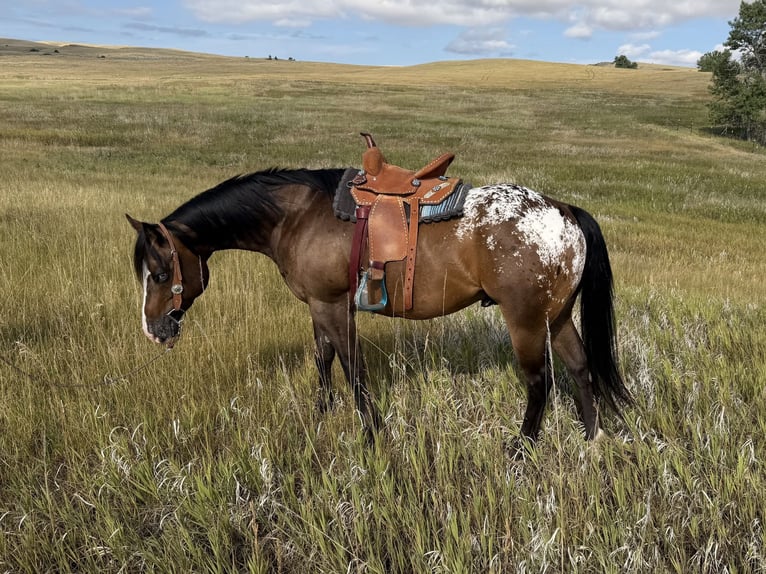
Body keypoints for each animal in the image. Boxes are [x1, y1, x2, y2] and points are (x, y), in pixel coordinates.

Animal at [126, 167, 631, 446]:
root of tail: (564, 210)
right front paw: (323, 414)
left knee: (539, 380)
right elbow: (323, 358)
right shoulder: (319, 307)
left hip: (525, 320)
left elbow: (353, 367)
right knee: (581, 367)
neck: (297, 216)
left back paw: (521, 447)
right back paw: (593, 438)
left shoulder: (332, 306)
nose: (153, 330)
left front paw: (371, 433)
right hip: (557, 315)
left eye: (159, 274)